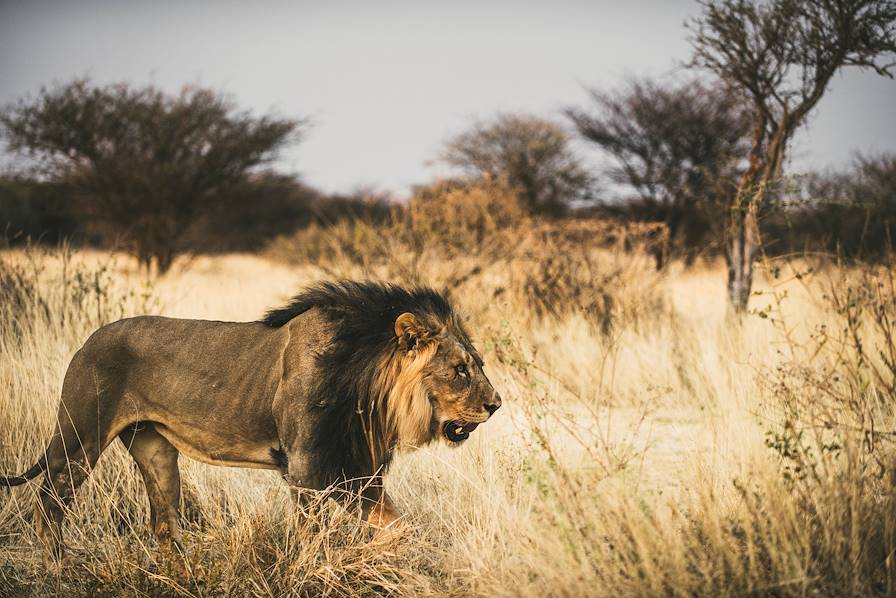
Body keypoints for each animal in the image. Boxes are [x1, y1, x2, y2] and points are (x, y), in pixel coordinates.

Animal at [0, 282, 500, 564]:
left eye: (476, 364)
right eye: (460, 369)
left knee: (163, 523)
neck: (365, 385)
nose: (496, 404)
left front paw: (381, 561)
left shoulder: (357, 474)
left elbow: (398, 528)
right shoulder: (306, 471)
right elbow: (312, 539)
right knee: (47, 504)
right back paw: (60, 566)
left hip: (156, 453)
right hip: (79, 438)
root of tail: (88, 340)